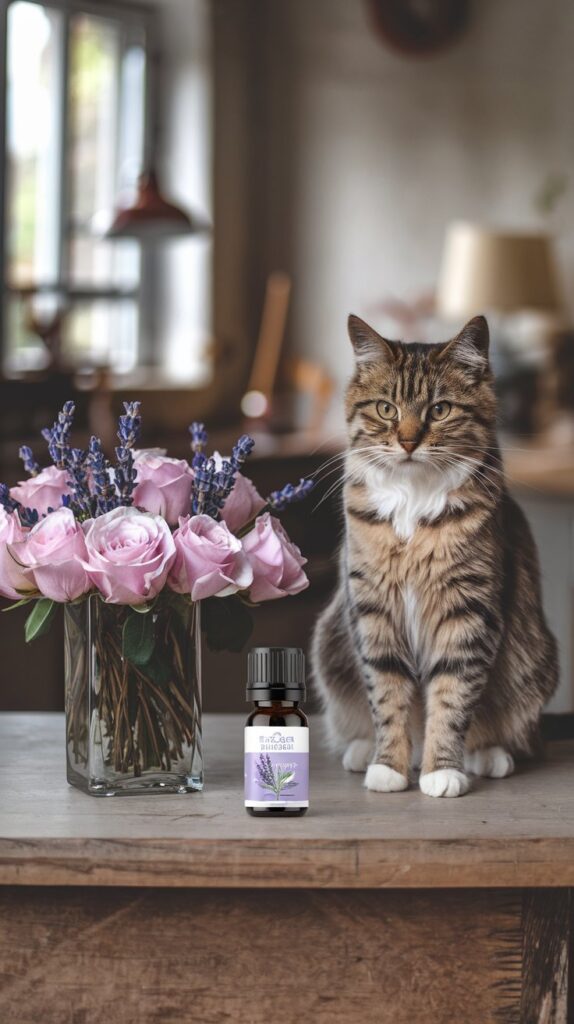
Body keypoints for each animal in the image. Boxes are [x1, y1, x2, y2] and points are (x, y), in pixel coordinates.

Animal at [311, 315, 556, 794]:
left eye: (439, 410)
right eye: (386, 409)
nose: (408, 442)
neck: (413, 498)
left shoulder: (469, 609)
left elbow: (451, 697)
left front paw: (441, 770)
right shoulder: (373, 607)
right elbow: (387, 694)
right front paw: (388, 767)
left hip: (534, 662)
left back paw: (488, 756)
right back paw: (364, 751)